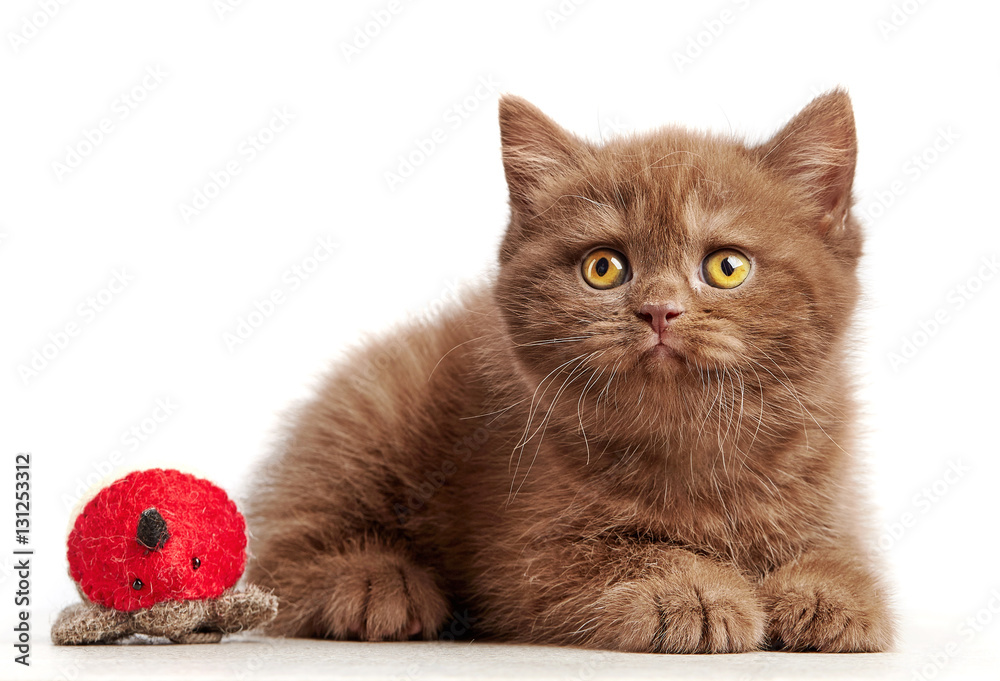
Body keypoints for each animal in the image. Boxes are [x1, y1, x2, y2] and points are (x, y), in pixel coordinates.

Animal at [246, 90, 896, 652]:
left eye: (727, 267)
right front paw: (691, 590)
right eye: (603, 268)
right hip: (378, 406)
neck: (692, 443)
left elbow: (839, 553)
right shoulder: (525, 556)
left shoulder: (830, 487)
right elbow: (620, 552)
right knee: (288, 546)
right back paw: (373, 584)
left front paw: (831, 594)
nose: (659, 309)